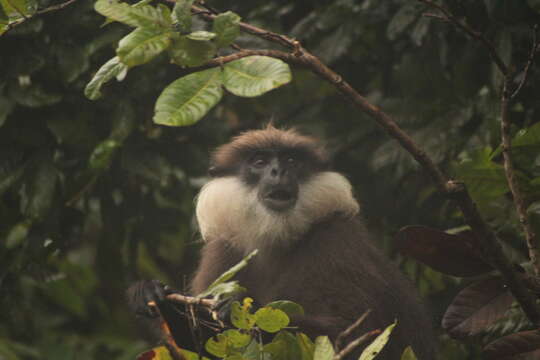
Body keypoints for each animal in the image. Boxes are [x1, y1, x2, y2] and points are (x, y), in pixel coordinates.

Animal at [129, 125, 436, 358]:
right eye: (260, 162)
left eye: (291, 161)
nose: (279, 172)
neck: (275, 236)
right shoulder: (225, 248)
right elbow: (202, 343)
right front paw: (153, 295)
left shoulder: (335, 237)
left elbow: (356, 335)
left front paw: (241, 310)